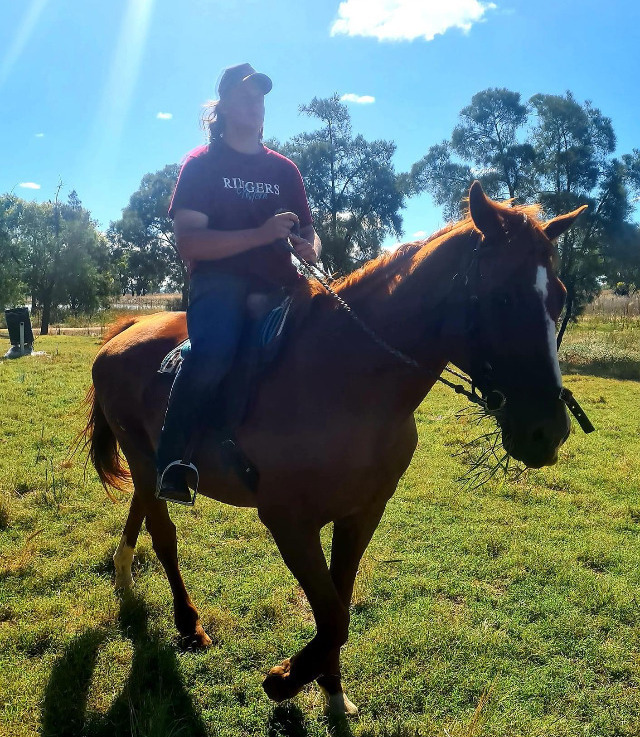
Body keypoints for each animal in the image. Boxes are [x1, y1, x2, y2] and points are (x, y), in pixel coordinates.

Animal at [83, 181, 586, 716]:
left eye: (559, 297)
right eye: (502, 296)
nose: (548, 432)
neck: (345, 379)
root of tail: (123, 333)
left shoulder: (361, 514)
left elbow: (337, 608)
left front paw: (329, 688)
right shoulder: (288, 522)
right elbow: (333, 616)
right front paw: (284, 680)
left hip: (150, 463)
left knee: (143, 507)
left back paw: (122, 571)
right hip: (142, 457)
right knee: (165, 535)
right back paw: (187, 622)